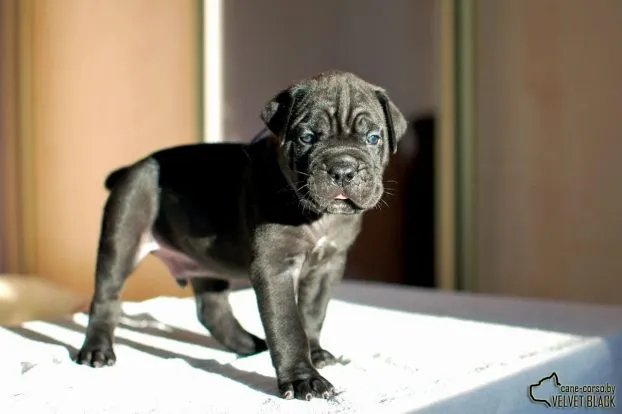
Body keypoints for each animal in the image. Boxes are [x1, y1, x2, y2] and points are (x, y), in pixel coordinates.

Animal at [75, 71, 410, 402]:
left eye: (373, 138)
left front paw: (314, 352)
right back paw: (96, 351)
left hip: (205, 263)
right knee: (106, 297)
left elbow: (312, 313)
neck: (317, 216)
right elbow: (287, 325)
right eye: (306, 137)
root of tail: (130, 169)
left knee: (212, 309)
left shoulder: (327, 266)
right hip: (123, 236)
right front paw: (303, 378)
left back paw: (249, 345)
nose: (343, 169)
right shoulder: (274, 267)